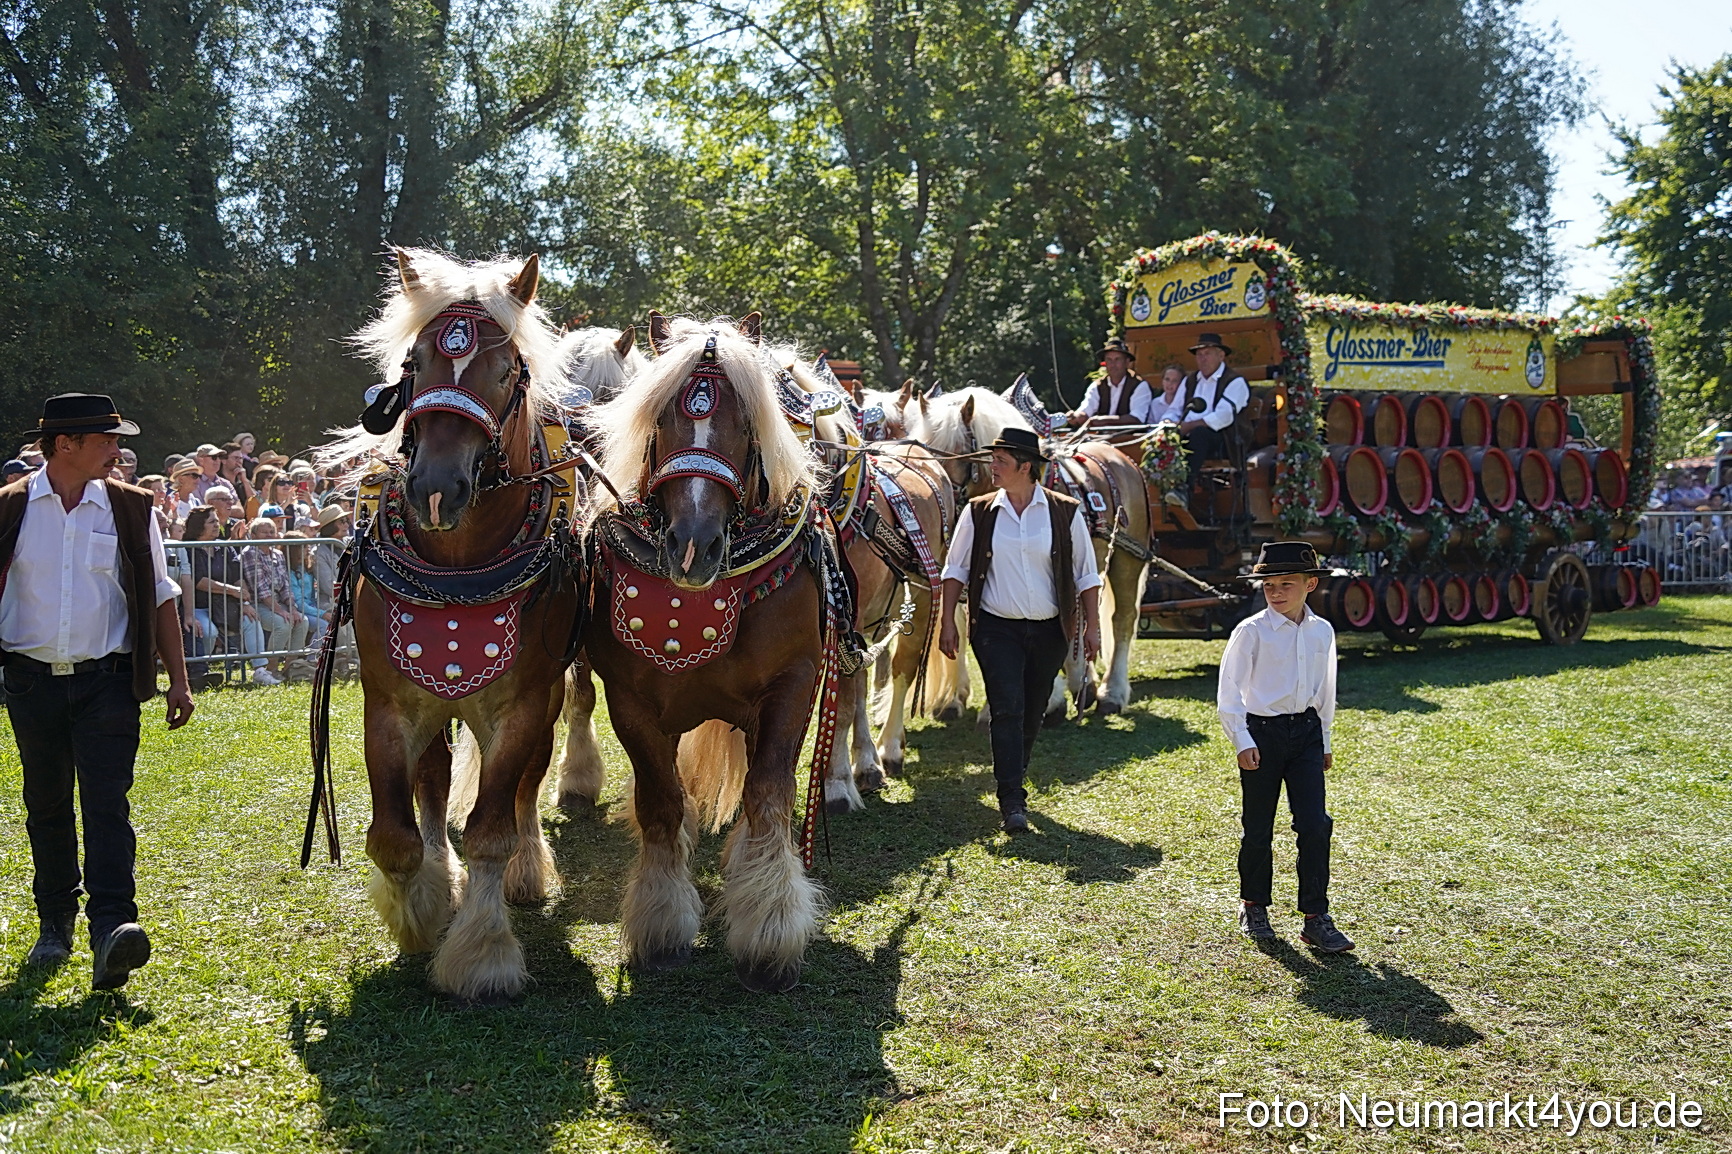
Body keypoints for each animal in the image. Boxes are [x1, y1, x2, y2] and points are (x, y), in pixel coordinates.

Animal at [317, 248, 585, 1004]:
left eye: (508, 370)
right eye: (415, 363)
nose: (436, 489)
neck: (460, 563)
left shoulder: (520, 706)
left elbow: (492, 827)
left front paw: (483, 951)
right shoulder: (390, 703)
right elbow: (394, 833)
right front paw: (417, 915)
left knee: (523, 788)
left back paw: (524, 871)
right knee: (434, 781)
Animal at [584, 312, 836, 993]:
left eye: (746, 424)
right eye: (661, 419)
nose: (694, 545)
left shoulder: (793, 684)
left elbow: (768, 793)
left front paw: (770, 929)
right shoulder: (631, 702)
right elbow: (662, 802)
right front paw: (662, 923)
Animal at [909, 386, 1151, 718]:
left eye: (957, 452)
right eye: (923, 451)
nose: (934, 492)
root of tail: (1124, 460)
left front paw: (1045, 700)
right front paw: (956, 700)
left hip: (1127, 561)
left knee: (1122, 618)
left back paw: (1110, 692)